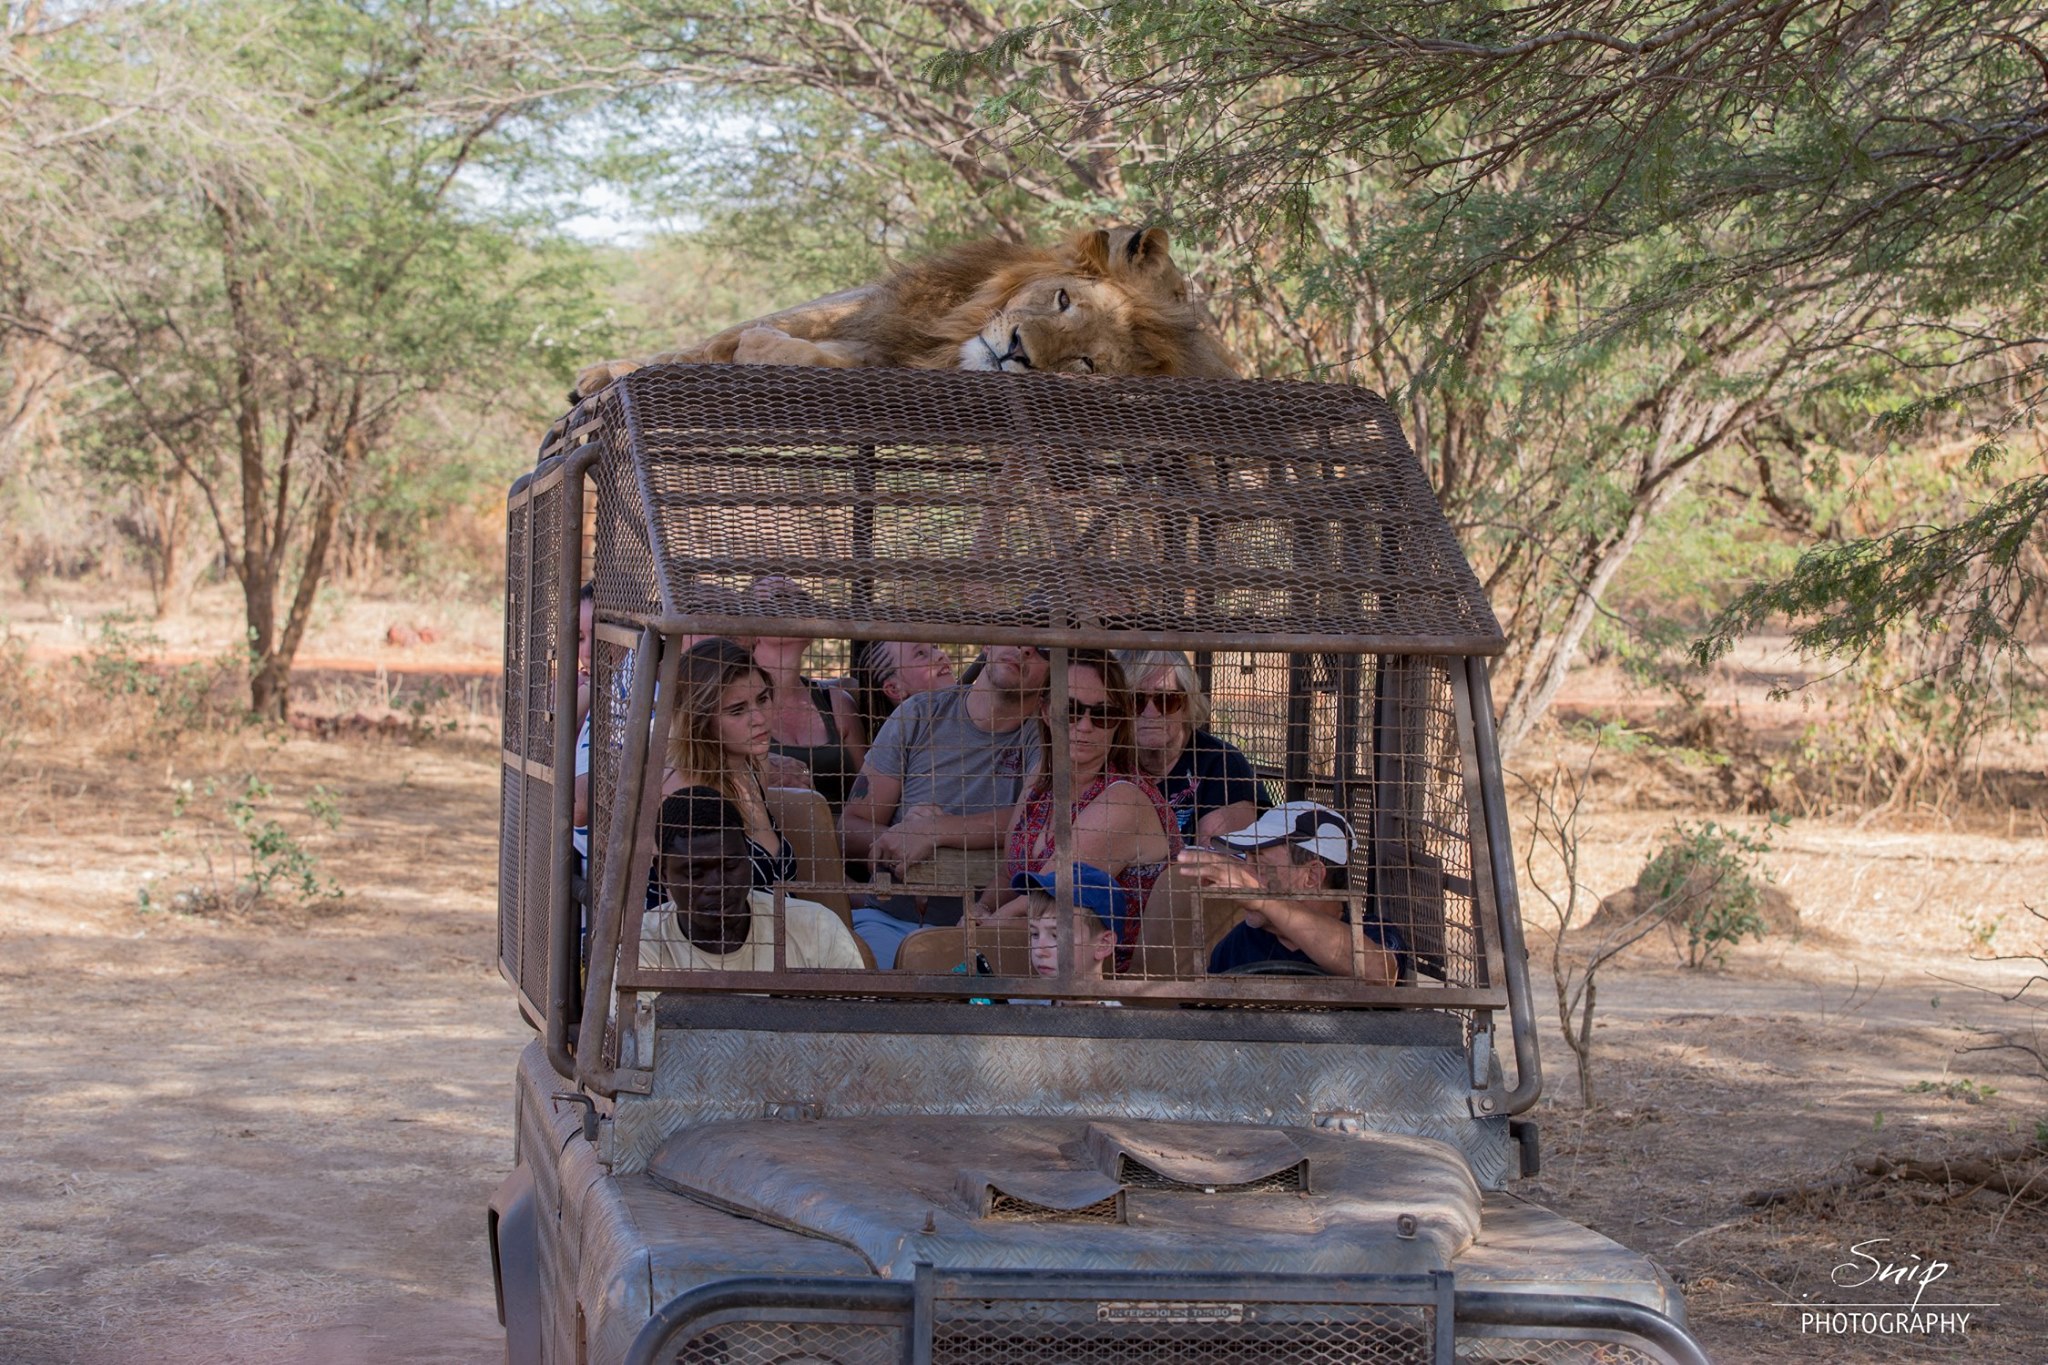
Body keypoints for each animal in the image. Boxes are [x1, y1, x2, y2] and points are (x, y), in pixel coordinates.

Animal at [571, 226, 1240, 400]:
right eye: (1062, 300)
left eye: (1087, 364)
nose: (1017, 351)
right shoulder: (872, 310)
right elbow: (715, 338)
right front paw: (607, 371)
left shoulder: (885, 357)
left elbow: (792, 351)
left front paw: (757, 350)